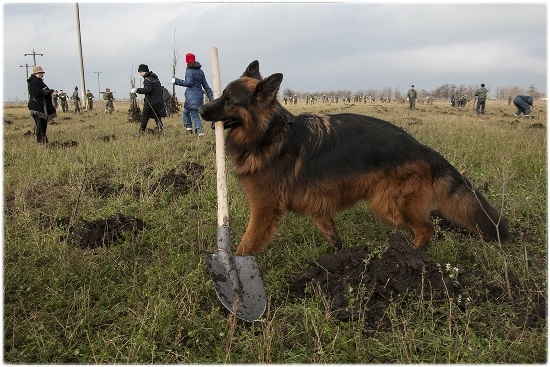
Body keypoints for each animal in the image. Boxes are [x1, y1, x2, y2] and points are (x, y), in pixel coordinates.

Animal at [197, 61, 508, 256]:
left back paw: (414, 254)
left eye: (229, 100)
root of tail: (420, 147)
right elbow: (328, 228)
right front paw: (339, 252)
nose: (199, 110)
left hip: (390, 205)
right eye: (221, 95)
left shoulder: (264, 209)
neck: (269, 134)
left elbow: (246, 245)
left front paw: (235, 272)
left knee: (427, 227)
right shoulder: (318, 203)